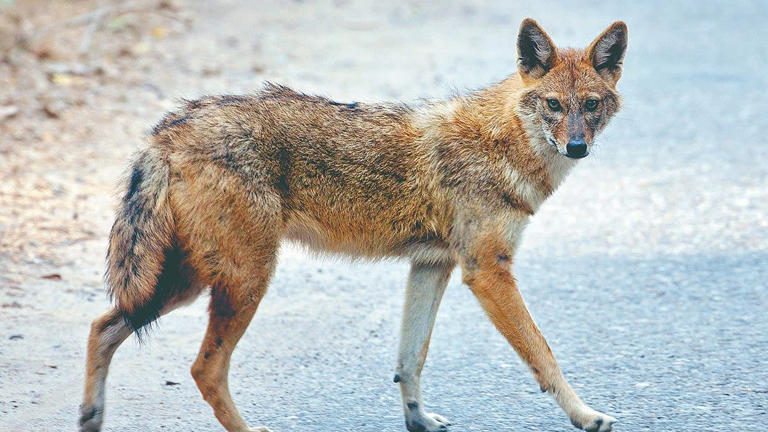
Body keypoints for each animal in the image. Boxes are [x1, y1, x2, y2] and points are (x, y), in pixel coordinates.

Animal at [80, 18, 628, 432]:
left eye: (591, 105)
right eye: (553, 105)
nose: (577, 146)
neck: (503, 143)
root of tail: (170, 130)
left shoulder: (433, 265)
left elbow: (410, 360)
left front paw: (418, 421)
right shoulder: (487, 272)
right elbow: (543, 354)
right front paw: (586, 415)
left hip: (182, 282)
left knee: (102, 327)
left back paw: (89, 417)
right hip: (240, 281)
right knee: (204, 369)